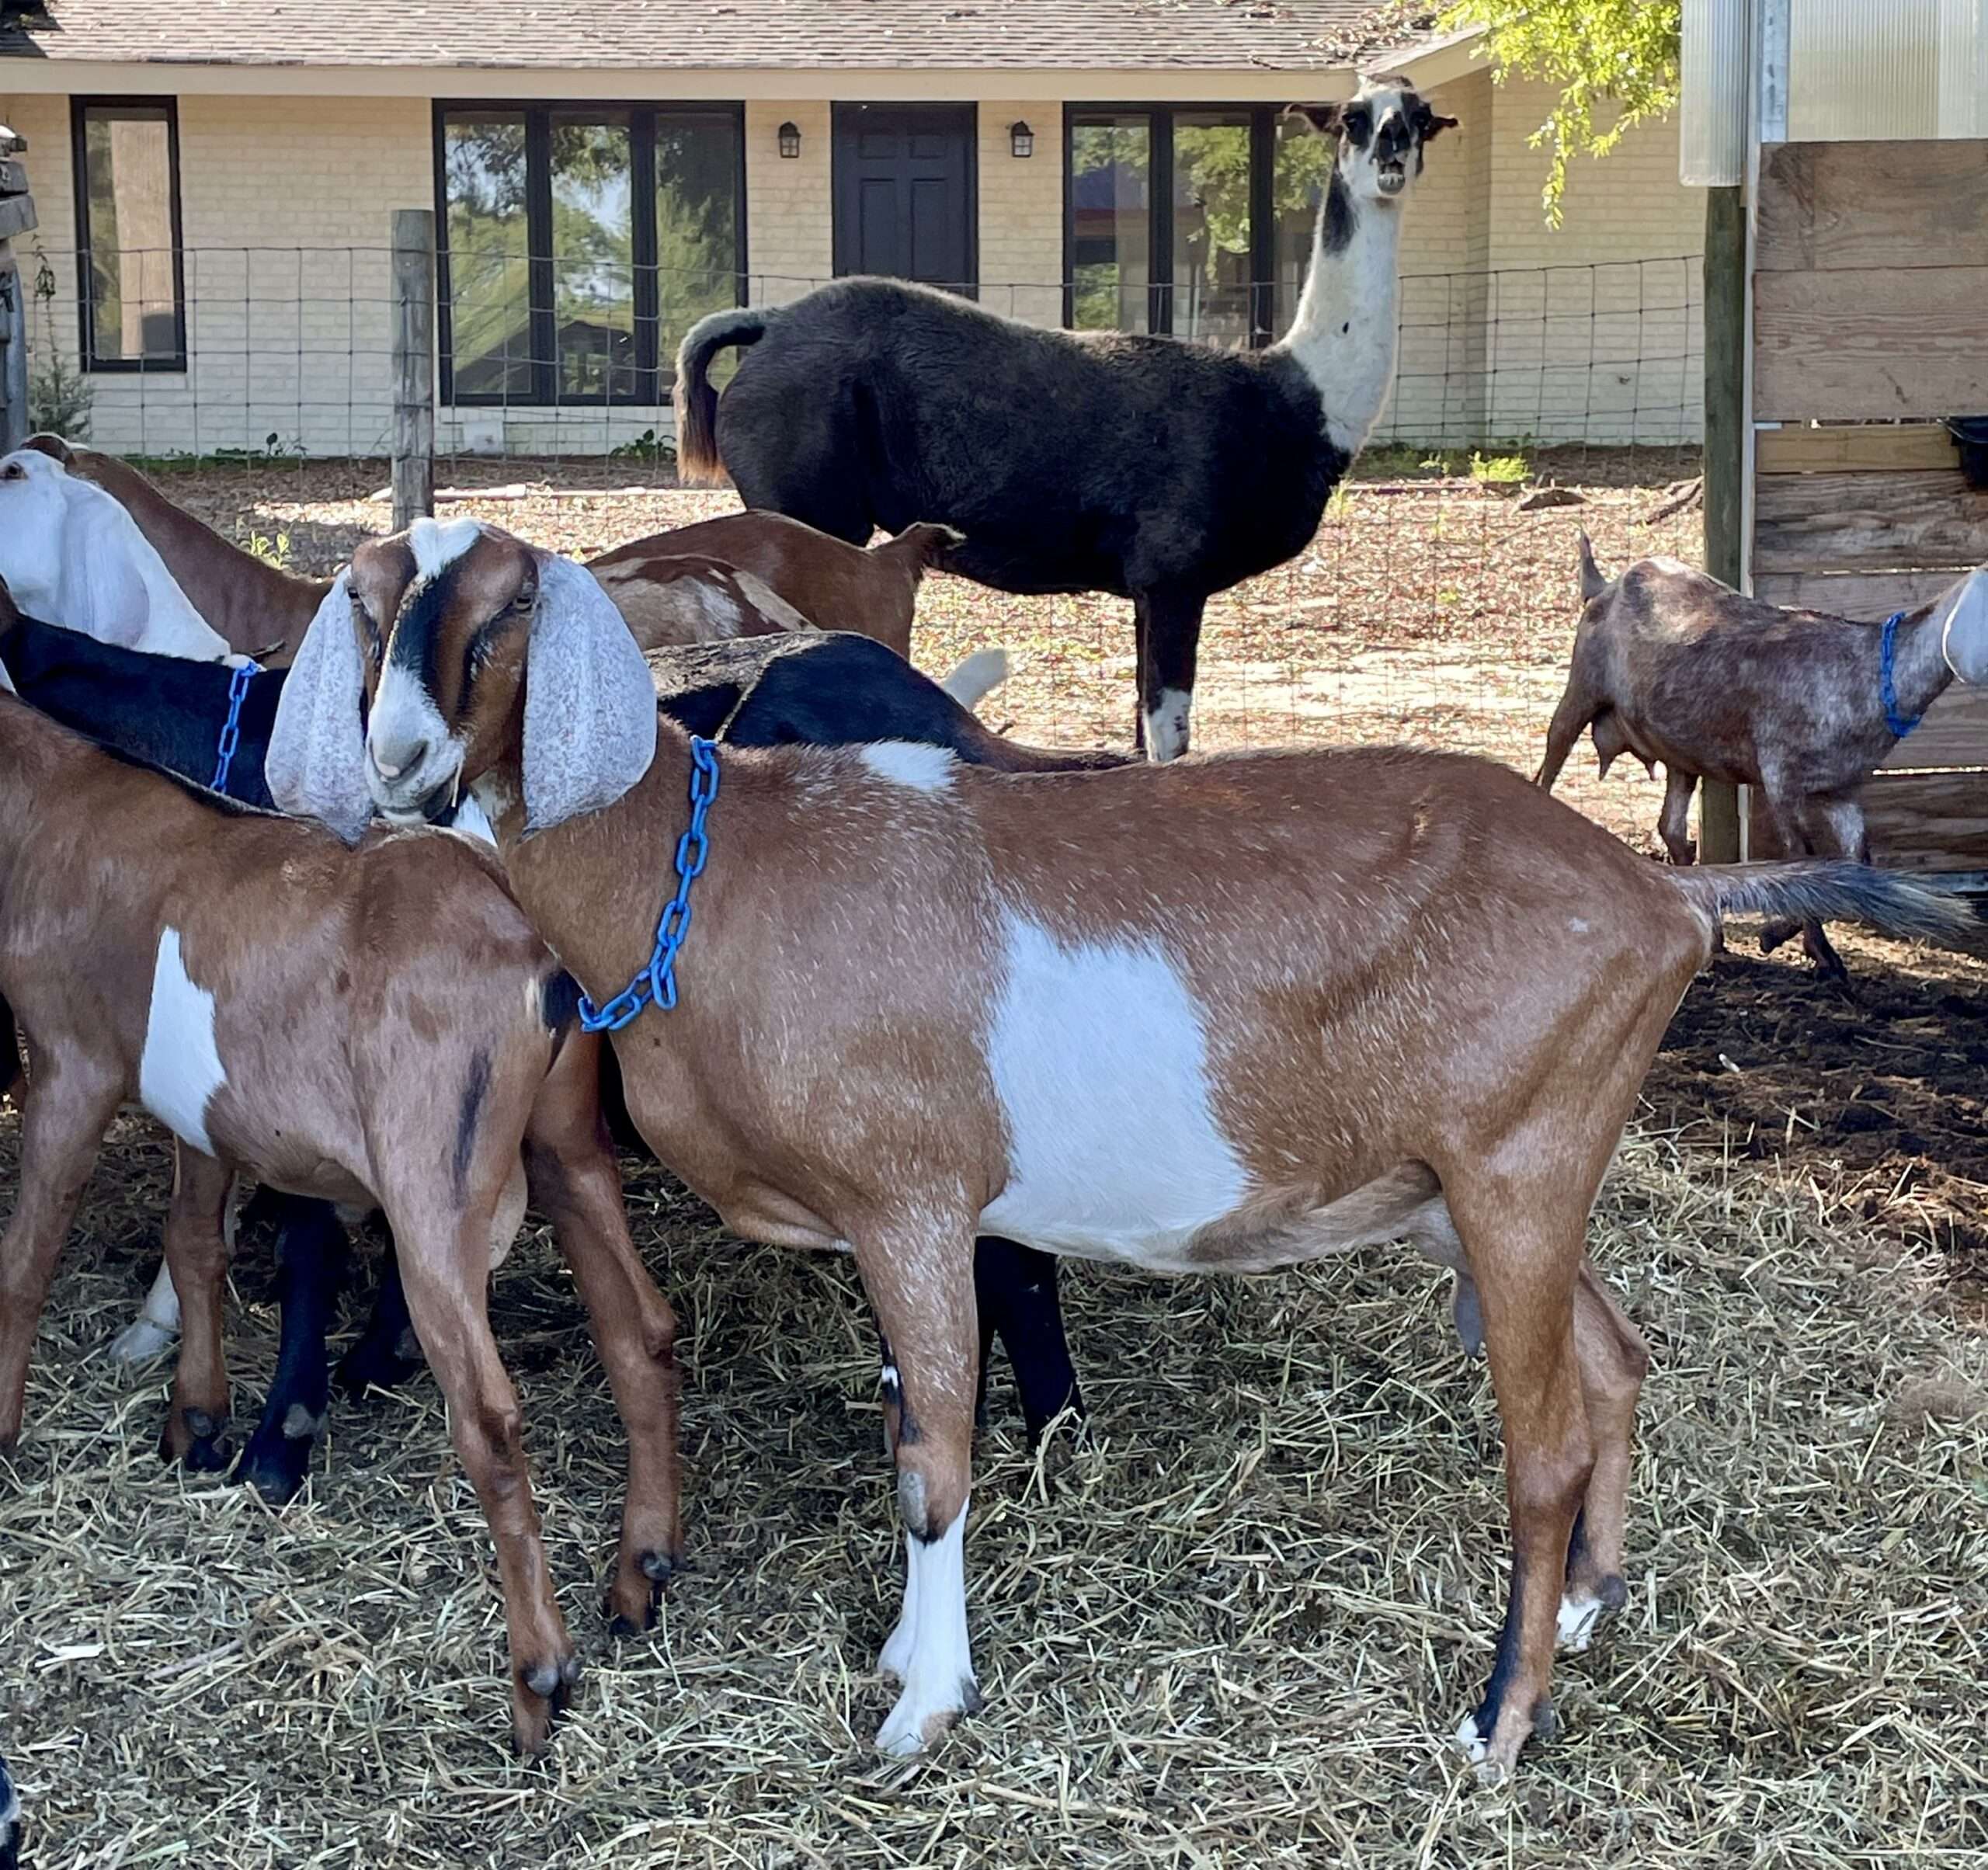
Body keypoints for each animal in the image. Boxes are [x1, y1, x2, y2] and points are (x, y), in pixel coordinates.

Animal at [0, 676, 683, 1764]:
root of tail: (536, 950)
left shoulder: (73, 1061)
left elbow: (25, 1258)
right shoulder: (203, 1106)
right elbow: (194, 1242)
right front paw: (196, 1421)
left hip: (430, 1181)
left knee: (489, 1414)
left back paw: (540, 1680)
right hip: (566, 1141)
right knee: (640, 1328)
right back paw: (638, 1575)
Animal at [676, 73, 1455, 759]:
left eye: (1420, 117)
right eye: (1353, 117)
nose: (1390, 147)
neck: (1292, 397)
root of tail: (771, 324)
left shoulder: (1148, 590)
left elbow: (1143, 734)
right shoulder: (1172, 576)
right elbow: (1168, 742)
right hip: (808, 507)